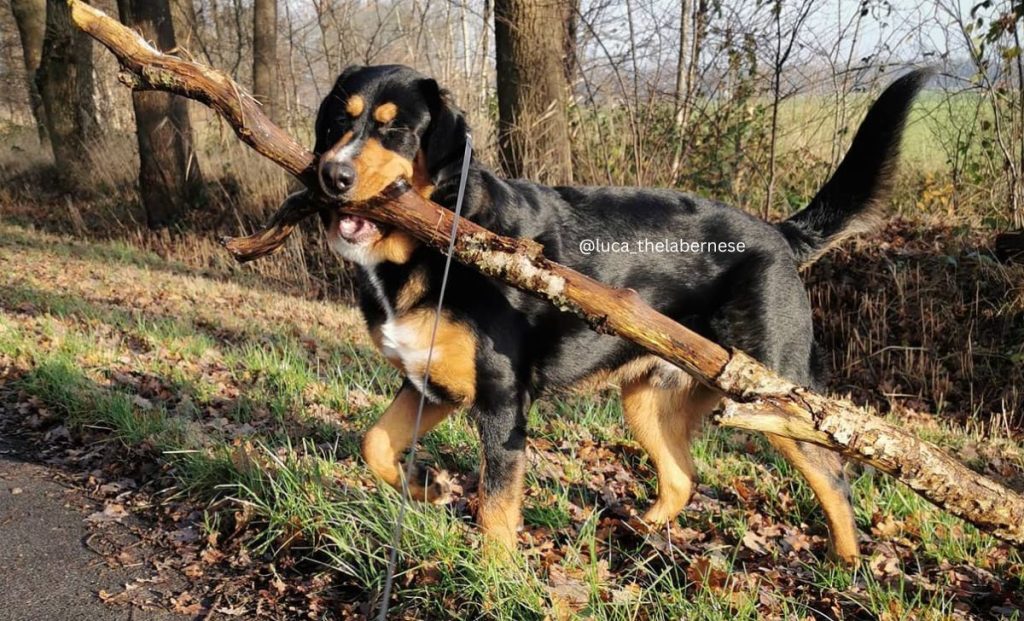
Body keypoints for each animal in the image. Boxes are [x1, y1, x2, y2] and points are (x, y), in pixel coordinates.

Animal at [294, 64, 929, 565]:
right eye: (338, 122)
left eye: (396, 129)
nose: (333, 175)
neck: (435, 242)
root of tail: (777, 232)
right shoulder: (432, 383)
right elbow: (376, 443)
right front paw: (424, 488)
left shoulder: (501, 400)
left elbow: (496, 508)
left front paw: (493, 578)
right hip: (647, 399)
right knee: (682, 478)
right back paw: (635, 533)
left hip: (777, 399)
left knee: (835, 480)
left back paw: (847, 568)